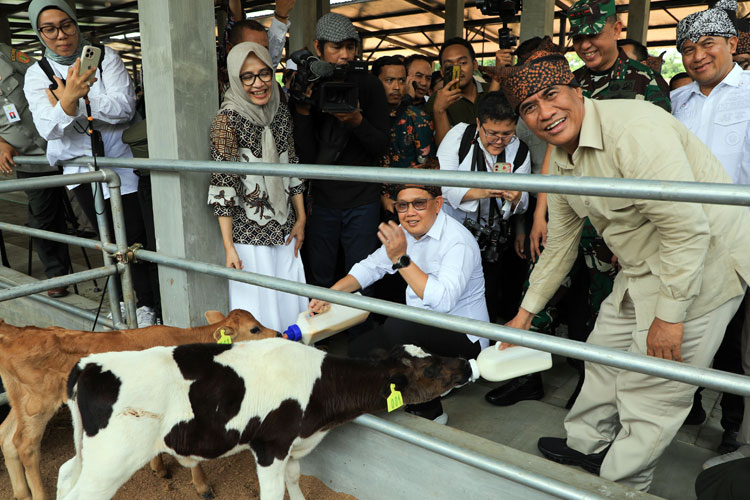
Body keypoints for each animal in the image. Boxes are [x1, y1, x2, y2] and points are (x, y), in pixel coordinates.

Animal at [0, 308, 280, 500]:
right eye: (255, 329)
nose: (278, 334)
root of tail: (17, 332)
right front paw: (203, 487)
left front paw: (159, 468)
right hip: (38, 403)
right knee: (25, 445)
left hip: (20, 402)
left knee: (6, 437)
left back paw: (22, 493)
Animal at [58, 338, 472, 498]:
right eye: (431, 369)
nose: (466, 364)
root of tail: (89, 364)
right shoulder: (270, 445)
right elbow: (273, 492)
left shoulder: (292, 445)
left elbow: (295, 479)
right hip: (112, 461)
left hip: (87, 451)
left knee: (64, 473)